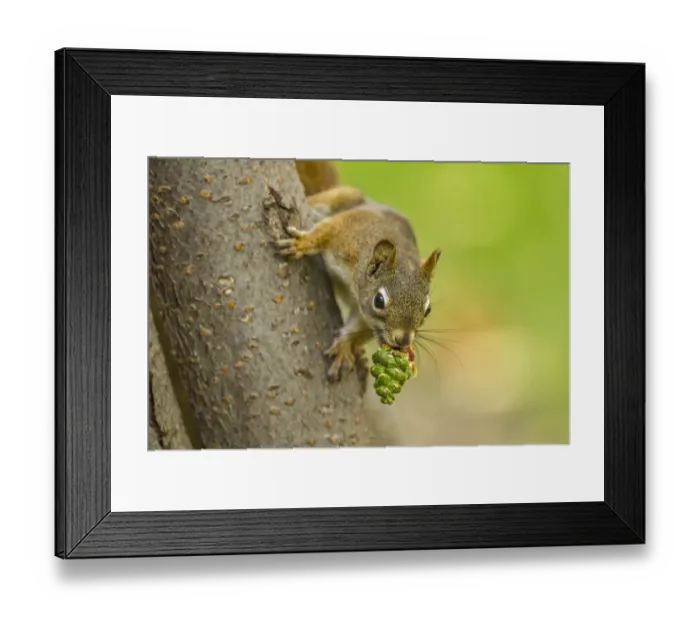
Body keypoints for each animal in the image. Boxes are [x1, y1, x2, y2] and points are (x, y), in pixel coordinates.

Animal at [277, 160, 441, 382]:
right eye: (378, 301)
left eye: (428, 310)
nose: (403, 340)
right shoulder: (348, 231)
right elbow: (325, 232)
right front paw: (303, 243)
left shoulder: (364, 316)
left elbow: (358, 328)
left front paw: (344, 347)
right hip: (343, 196)